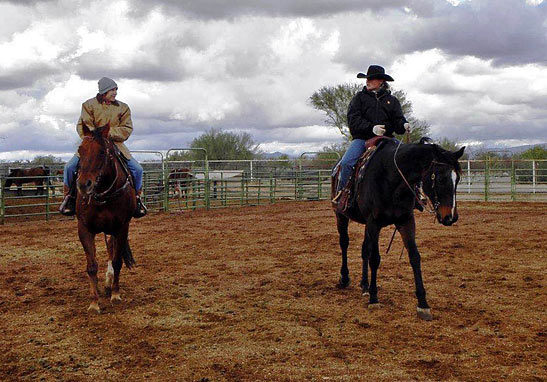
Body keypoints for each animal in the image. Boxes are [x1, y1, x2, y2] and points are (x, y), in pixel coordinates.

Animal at [76, 123, 136, 314]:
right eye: (80, 150)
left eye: (102, 152)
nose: (84, 184)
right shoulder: (84, 229)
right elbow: (91, 266)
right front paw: (94, 302)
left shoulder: (122, 227)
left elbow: (117, 261)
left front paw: (115, 294)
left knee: (111, 249)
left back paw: (109, 283)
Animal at [332, 139, 464, 320]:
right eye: (442, 179)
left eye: (457, 179)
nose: (451, 217)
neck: (391, 179)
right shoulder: (374, 223)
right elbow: (375, 258)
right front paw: (374, 298)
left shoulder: (405, 221)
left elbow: (414, 257)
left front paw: (423, 304)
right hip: (341, 215)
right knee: (344, 243)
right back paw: (345, 278)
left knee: (364, 249)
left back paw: (364, 285)